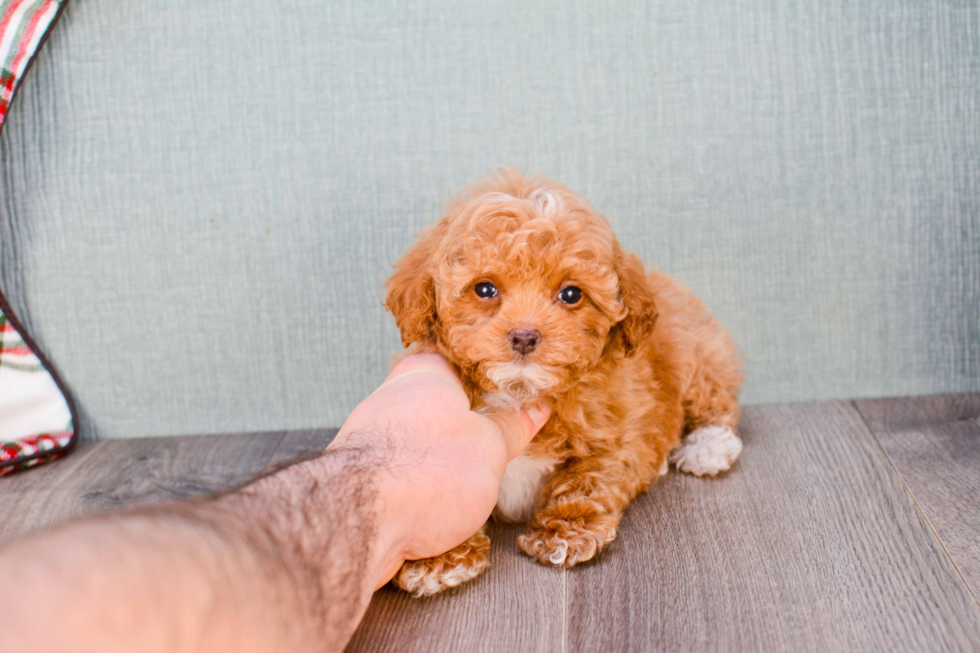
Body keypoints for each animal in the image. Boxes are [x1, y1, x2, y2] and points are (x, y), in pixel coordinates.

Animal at [382, 169, 744, 596]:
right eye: (484, 289)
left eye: (571, 293)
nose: (524, 336)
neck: (519, 393)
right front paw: (440, 556)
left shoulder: (614, 432)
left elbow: (585, 478)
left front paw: (563, 533)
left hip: (696, 352)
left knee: (715, 399)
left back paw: (709, 446)